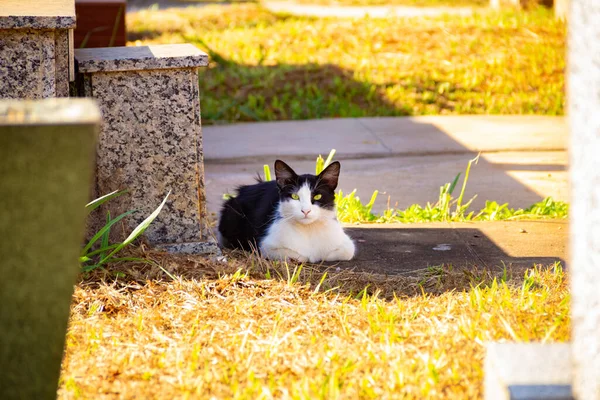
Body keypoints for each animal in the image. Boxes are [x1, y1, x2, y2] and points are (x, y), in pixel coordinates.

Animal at [217, 159, 354, 262]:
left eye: (317, 196)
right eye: (295, 196)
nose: (306, 211)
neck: (308, 230)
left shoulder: (347, 246)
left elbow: (343, 253)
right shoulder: (266, 247)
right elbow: (299, 256)